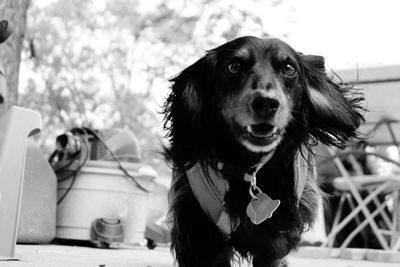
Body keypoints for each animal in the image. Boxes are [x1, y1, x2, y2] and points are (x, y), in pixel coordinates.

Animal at [162, 36, 366, 267]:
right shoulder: (197, 227)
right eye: (234, 67)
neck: (247, 166)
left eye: (289, 68)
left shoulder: (278, 234)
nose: (266, 103)